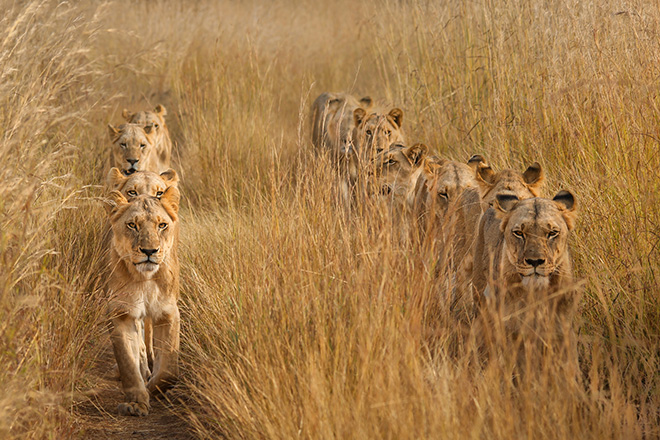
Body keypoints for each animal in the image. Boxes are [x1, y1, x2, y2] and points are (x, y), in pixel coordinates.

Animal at [107, 188, 182, 416]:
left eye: (162, 225)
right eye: (132, 225)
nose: (150, 252)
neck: (146, 279)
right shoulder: (121, 312)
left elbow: (170, 370)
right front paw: (136, 403)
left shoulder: (167, 312)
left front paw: (152, 389)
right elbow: (128, 363)